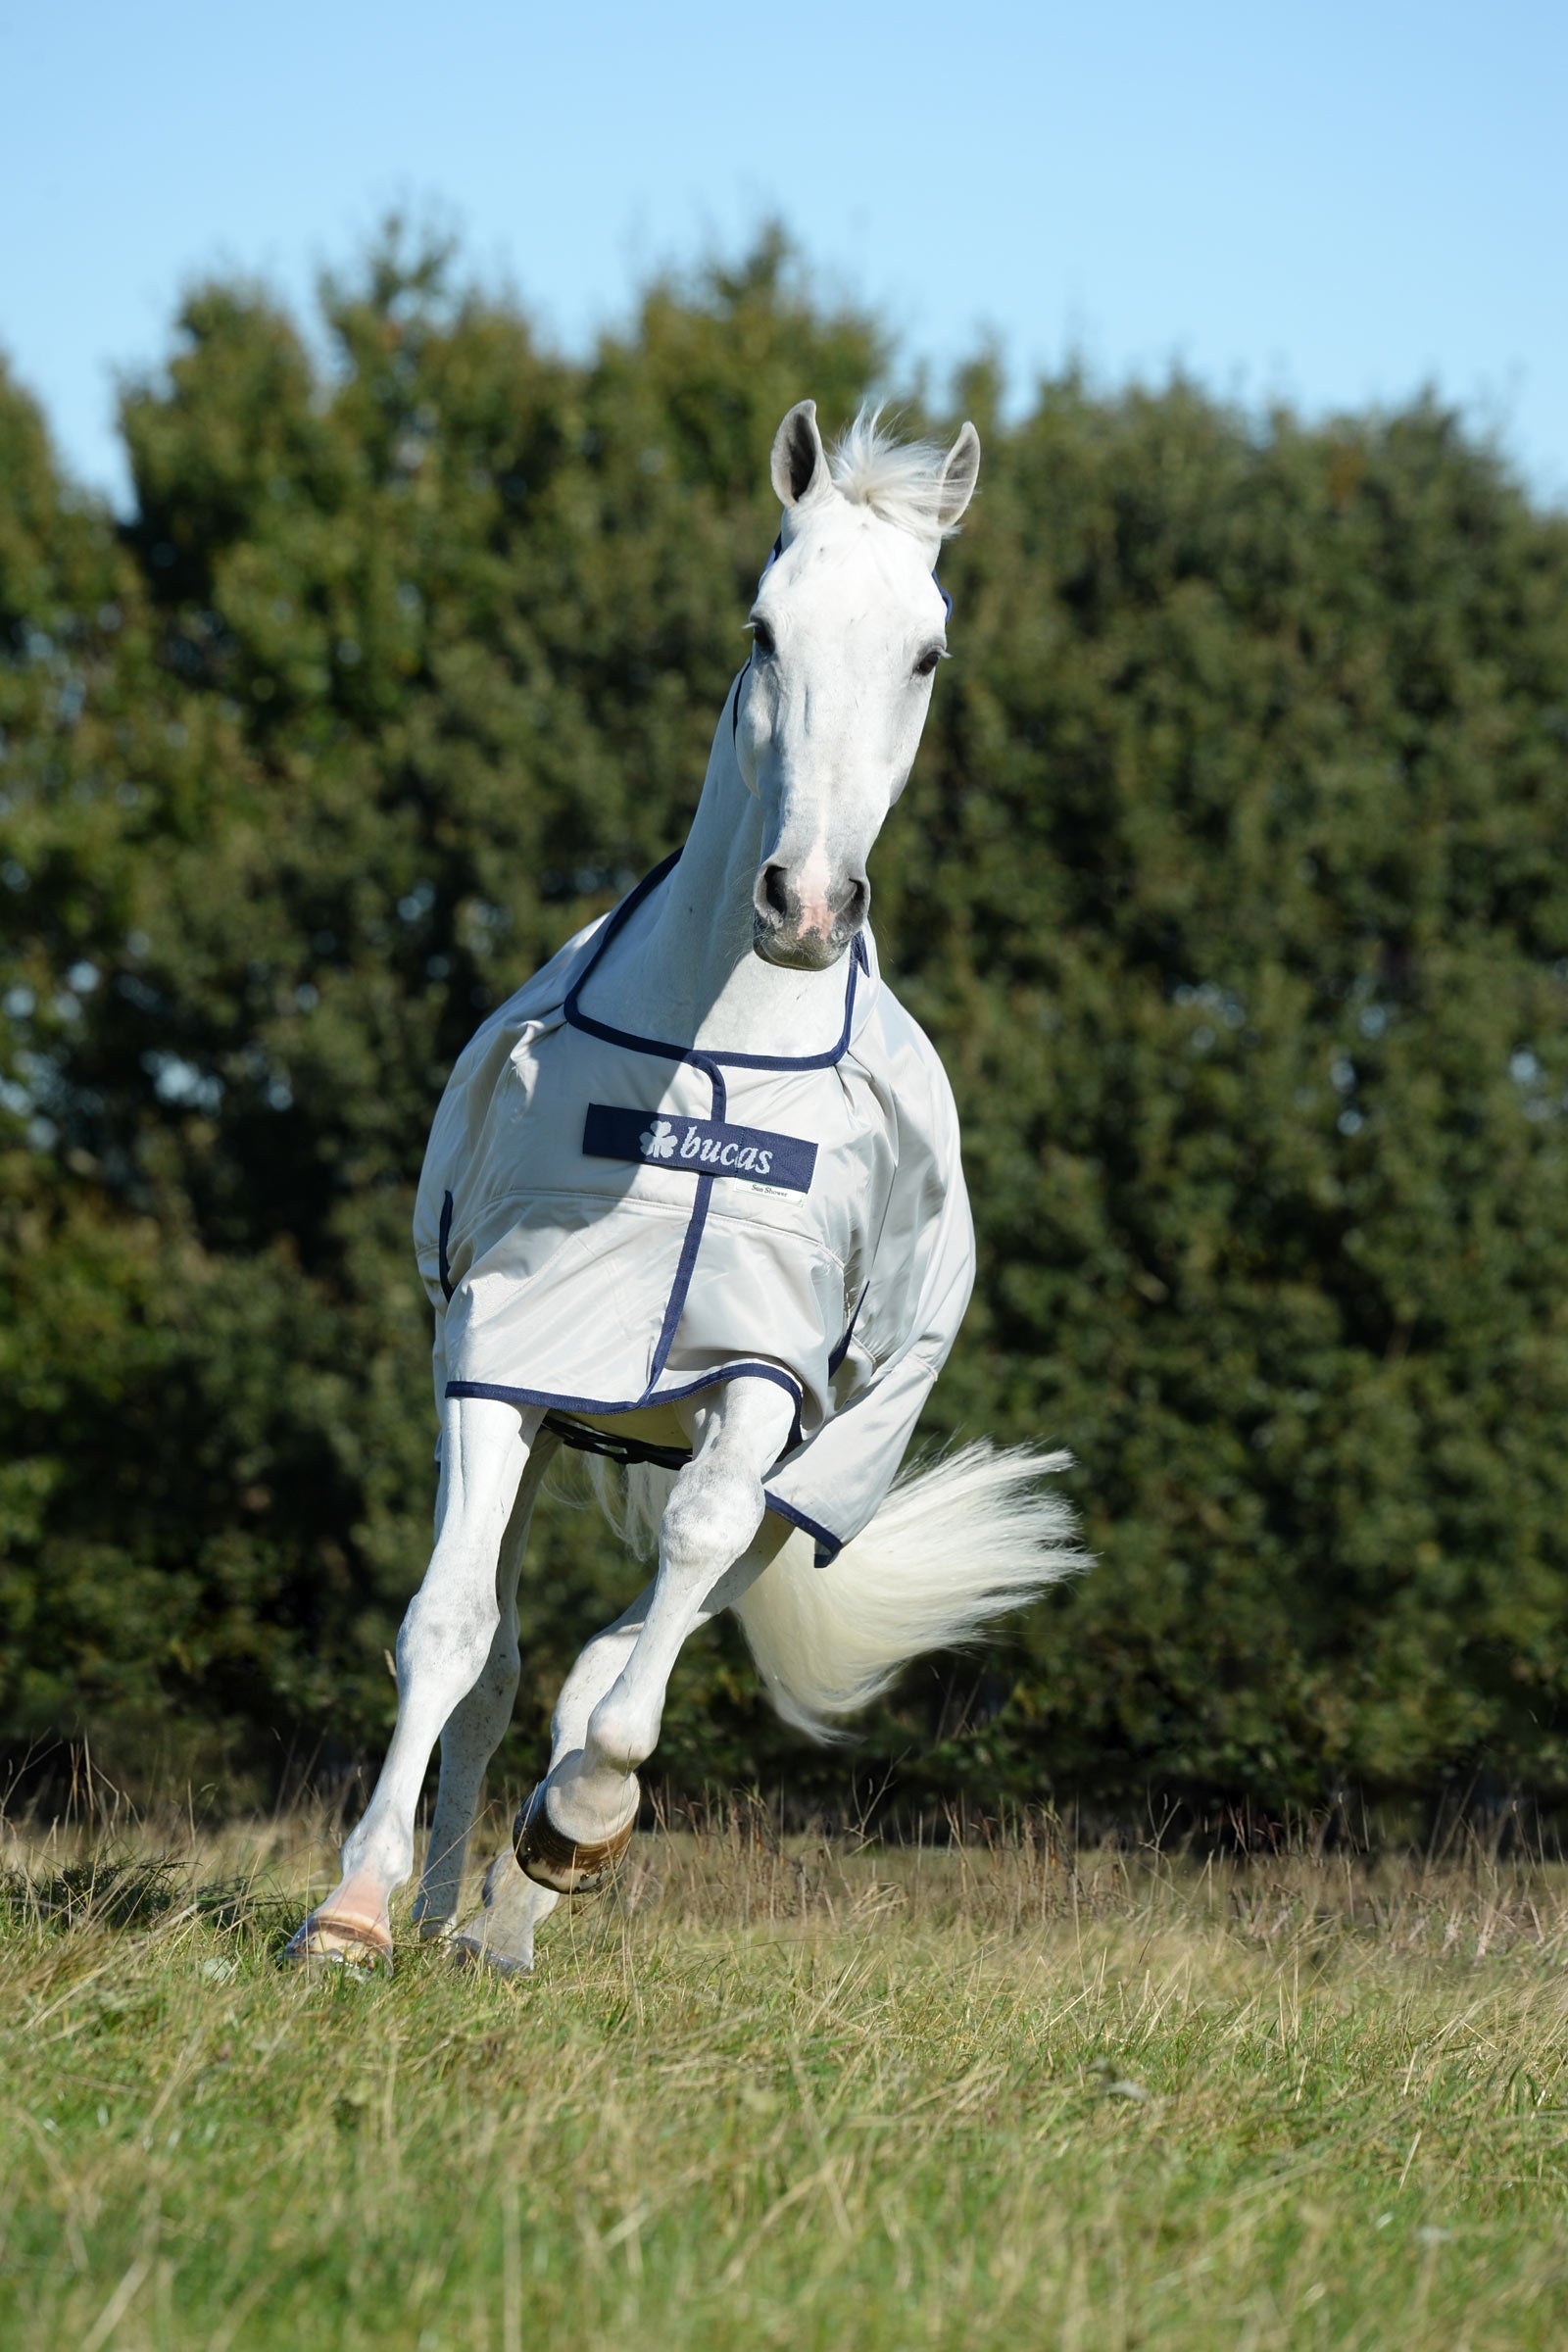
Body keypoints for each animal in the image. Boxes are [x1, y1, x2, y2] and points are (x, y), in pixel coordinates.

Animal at [286, 401, 1085, 1974]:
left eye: (927, 652)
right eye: (763, 629)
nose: (809, 906)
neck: (711, 1065)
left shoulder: (762, 1370)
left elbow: (671, 1589)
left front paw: (583, 1823)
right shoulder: (505, 1357)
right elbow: (452, 1631)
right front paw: (353, 1915)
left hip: (822, 1471)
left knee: (639, 1632)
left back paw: (525, 1896)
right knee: (514, 1662)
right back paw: (451, 1914)